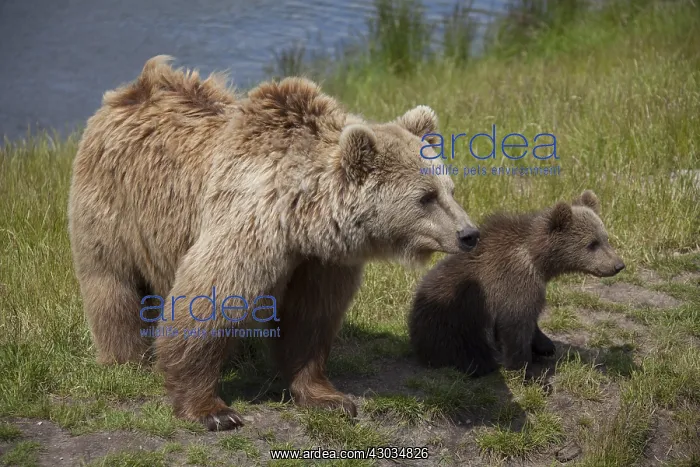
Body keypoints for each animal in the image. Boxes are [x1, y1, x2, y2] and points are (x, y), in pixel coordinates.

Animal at [67, 55, 479, 431]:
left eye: (450, 189)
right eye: (425, 197)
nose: (469, 233)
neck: (301, 218)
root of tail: (132, 89)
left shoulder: (320, 261)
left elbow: (309, 319)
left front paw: (329, 398)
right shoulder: (248, 226)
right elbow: (208, 299)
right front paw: (213, 410)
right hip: (114, 209)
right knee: (112, 285)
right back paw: (127, 359)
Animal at [408, 190, 625, 377]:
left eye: (605, 238)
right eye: (592, 244)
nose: (618, 265)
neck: (538, 260)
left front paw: (545, 345)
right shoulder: (514, 280)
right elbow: (516, 325)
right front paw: (530, 372)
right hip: (454, 323)